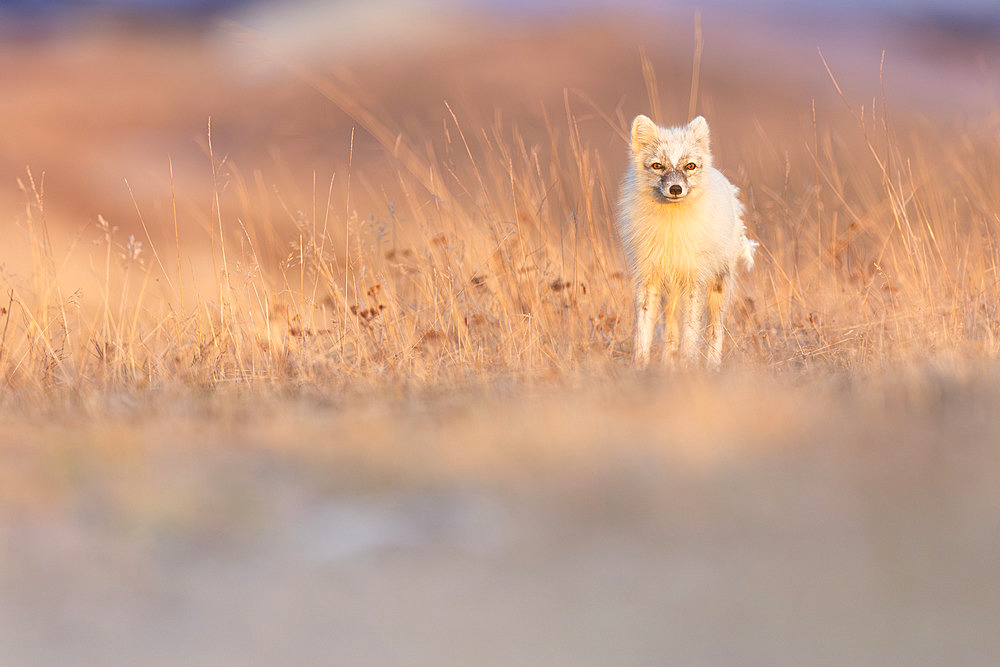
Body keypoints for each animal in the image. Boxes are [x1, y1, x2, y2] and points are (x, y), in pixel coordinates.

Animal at [616, 112, 756, 368]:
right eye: (657, 165)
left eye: (689, 166)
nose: (675, 189)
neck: (672, 230)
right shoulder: (648, 279)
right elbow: (643, 334)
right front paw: (639, 369)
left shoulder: (694, 282)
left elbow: (691, 335)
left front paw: (688, 367)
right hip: (670, 293)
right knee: (671, 332)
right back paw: (669, 366)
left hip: (718, 287)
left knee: (714, 331)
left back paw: (712, 367)